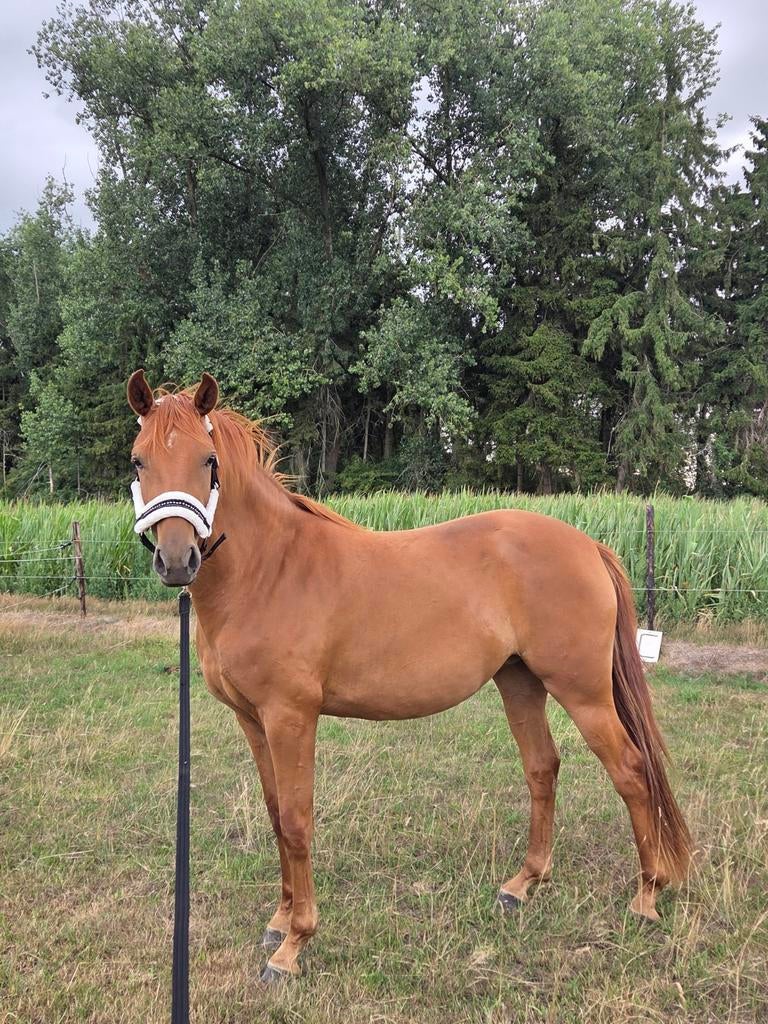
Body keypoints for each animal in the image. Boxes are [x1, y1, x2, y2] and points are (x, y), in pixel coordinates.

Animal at [127, 369, 691, 983]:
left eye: (208, 460)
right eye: (138, 460)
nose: (176, 559)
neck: (269, 569)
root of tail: (587, 545)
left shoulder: (290, 718)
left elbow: (297, 821)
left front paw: (294, 944)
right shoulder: (253, 721)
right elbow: (276, 816)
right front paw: (279, 920)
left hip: (583, 693)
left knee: (631, 772)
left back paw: (646, 896)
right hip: (520, 682)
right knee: (543, 769)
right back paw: (524, 883)